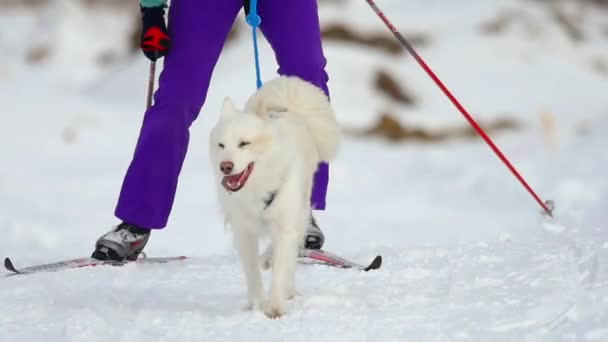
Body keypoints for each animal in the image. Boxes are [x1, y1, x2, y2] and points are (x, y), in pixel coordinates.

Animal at [209, 75, 340, 318]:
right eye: (221, 145)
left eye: (244, 143)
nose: (225, 166)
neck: (257, 188)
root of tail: (290, 111)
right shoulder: (244, 231)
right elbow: (251, 271)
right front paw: (257, 303)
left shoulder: (285, 226)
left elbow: (281, 267)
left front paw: (275, 307)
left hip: (299, 214)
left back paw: (288, 289)